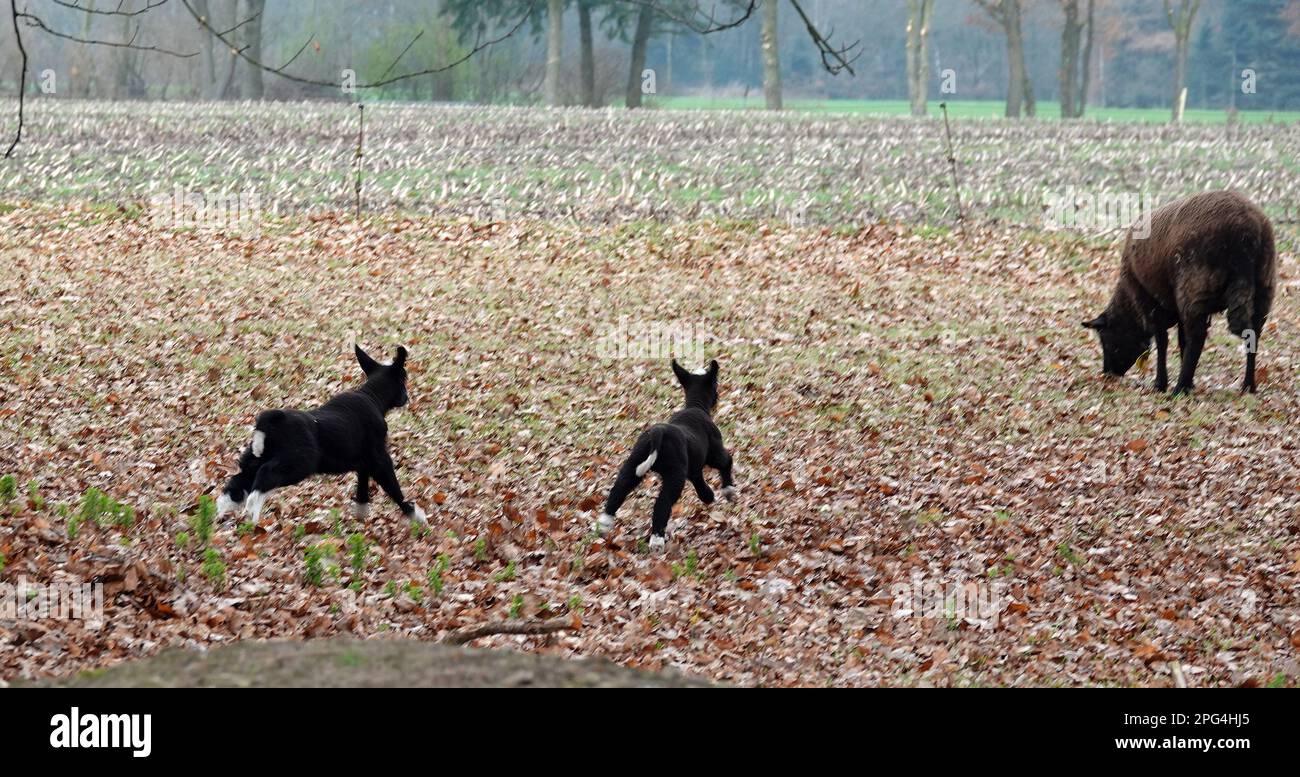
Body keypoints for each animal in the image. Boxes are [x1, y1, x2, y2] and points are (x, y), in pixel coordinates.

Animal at [1081, 189, 1274, 394]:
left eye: (1105, 339)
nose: (1108, 374)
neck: (1129, 304)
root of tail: (1246, 233)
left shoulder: (1149, 303)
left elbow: (1163, 341)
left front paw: (1161, 384)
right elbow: (1181, 341)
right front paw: (1190, 383)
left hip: (1194, 287)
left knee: (1197, 337)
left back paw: (1179, 388)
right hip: (1264, 286)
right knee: (1253, 335)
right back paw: (1248, 386)